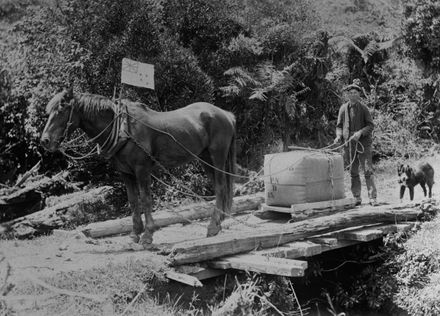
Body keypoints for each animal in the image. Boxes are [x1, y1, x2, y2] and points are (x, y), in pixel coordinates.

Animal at [40, 89, 237, 247]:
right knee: (219, 188)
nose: (45, 141)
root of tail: (226, 114)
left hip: (217, 157)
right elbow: (133, 201)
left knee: (221, 187)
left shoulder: (142, 170)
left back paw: (213, 226)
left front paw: (148, 235)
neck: (123, 129)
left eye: (61, 110)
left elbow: (146, 199)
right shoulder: (126, 173)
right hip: (205, 159)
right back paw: (218, 222)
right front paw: (135, 233)